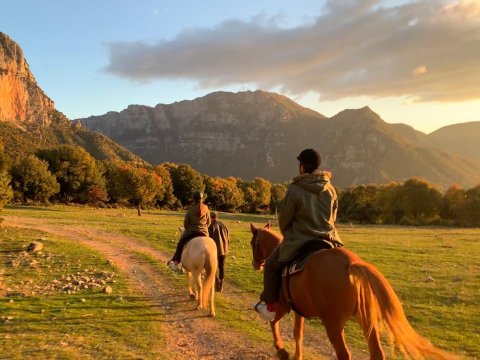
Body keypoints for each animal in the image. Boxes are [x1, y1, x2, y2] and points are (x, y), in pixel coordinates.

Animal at [251, 222, 458, 360]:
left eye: (253, 243)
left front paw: (281, 351)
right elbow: (298, 333)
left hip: (333, 325)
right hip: (367, 320)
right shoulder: (298, 310)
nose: (256, 264)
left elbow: (274, 324)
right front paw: (296, 356)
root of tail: (351, 264)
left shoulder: (281, 306)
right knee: (377, 352)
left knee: (344, 354)